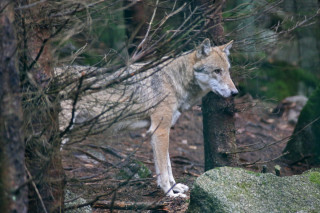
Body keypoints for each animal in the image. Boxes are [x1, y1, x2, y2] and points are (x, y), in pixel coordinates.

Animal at [58, 38, 238, 198]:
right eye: (217, 71)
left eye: (228, 70)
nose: (235, 93)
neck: (174, 80)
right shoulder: (160, 131)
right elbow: (163, 171)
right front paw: (170, 194)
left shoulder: (160, 131)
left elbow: (167, 166)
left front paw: (175, 187)